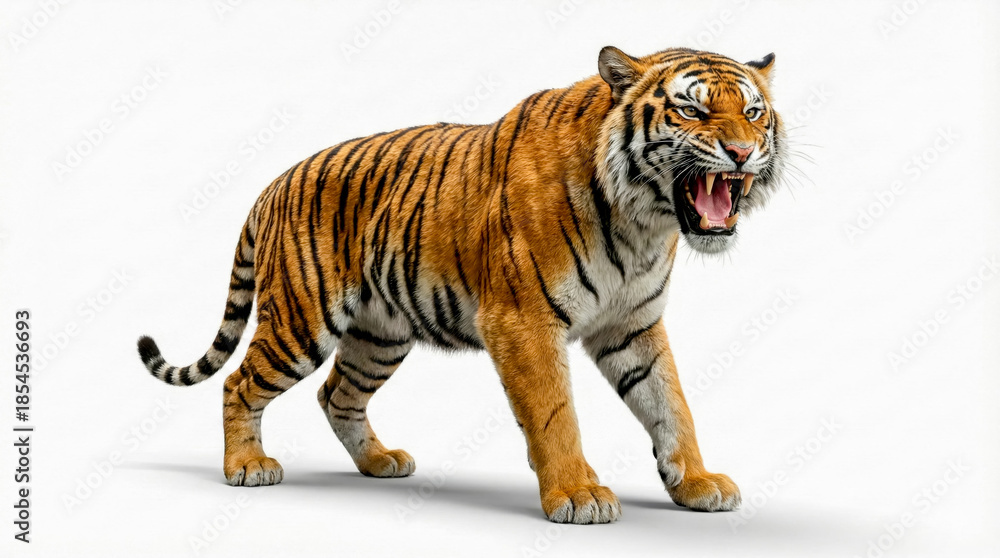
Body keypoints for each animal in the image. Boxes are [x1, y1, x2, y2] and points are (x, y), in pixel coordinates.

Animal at [137, 46, 786, 524]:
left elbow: (671, 404)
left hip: (380, 336)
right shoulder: (524, 321)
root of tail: (273, 183)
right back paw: (247, 466)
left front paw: (697, 483)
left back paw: (379, 462)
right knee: (240, 383)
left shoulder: (633, 324)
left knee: (336, 395)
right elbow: (555, 414)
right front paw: (577, 494)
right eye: (692, 112)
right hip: (301, 319)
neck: (646, 223)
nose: (742, 151)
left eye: (754, 113)